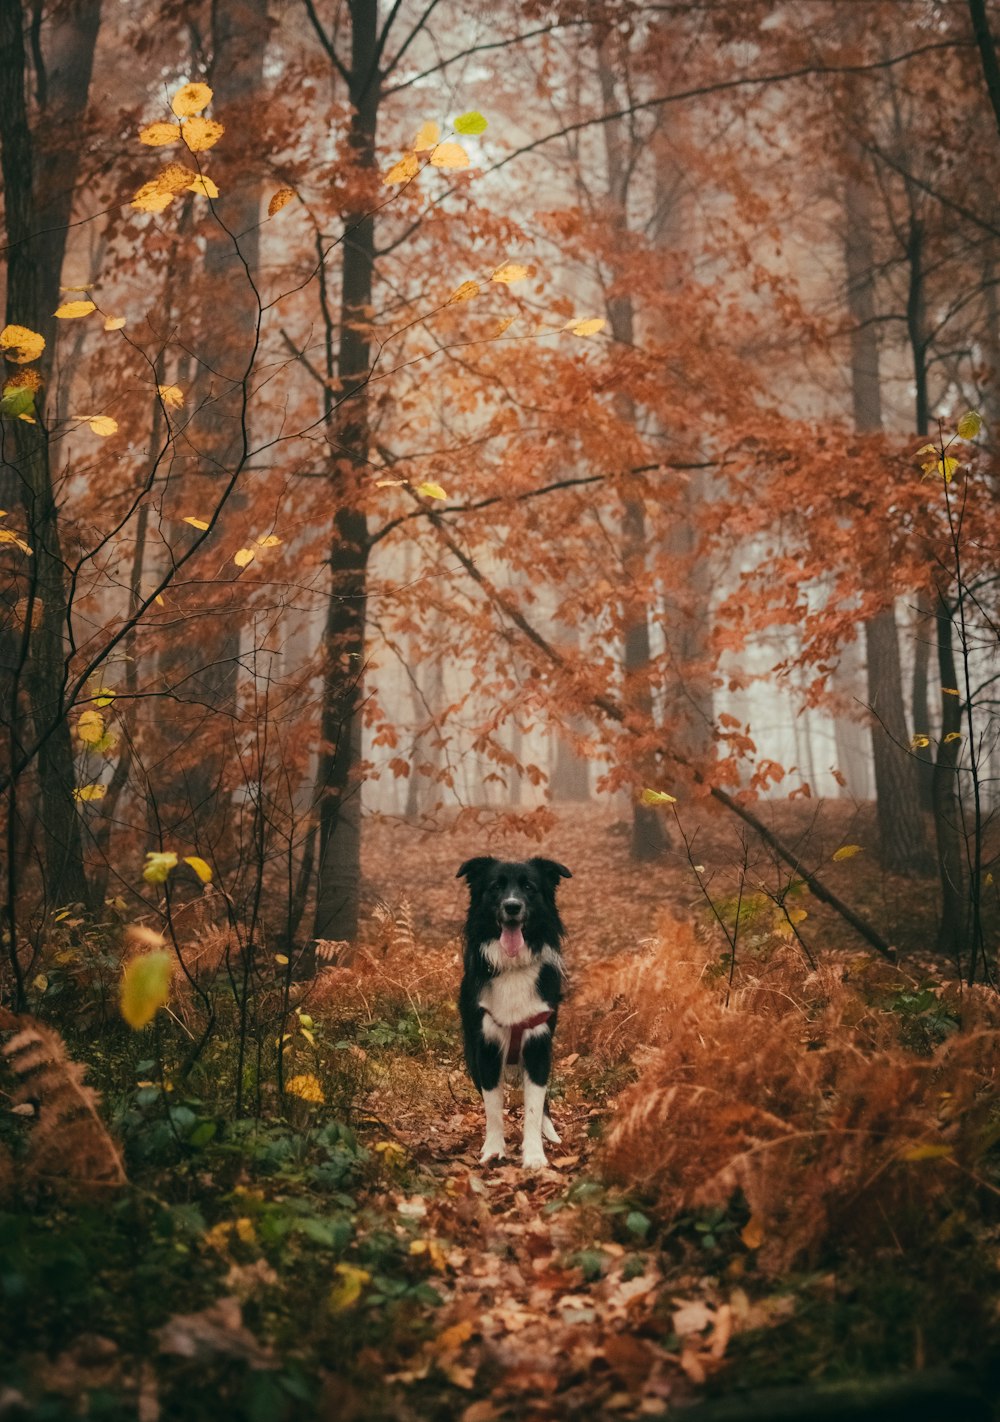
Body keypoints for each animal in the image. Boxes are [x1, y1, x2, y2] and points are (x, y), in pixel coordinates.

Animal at [460, 853, 574, 1166]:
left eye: (529, 888)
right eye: (496, 887)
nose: (512, 906)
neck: (512, 967)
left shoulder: (538, 1043)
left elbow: (534, 1108)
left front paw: (534, 1155)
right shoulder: (485, 1047)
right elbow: (493, 1108)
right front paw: (493, 1150)